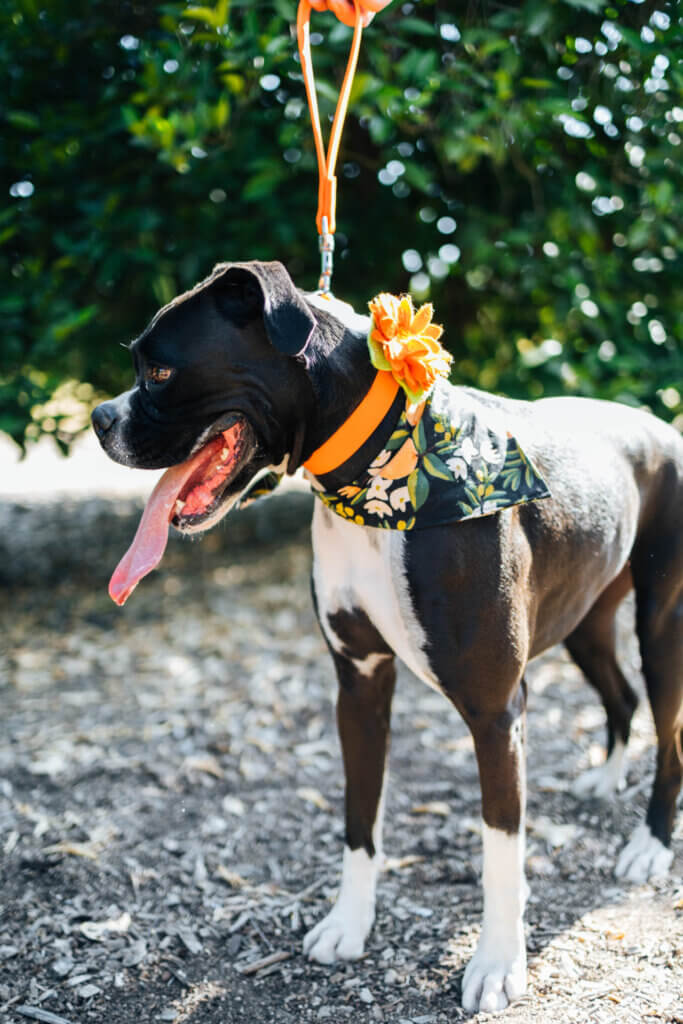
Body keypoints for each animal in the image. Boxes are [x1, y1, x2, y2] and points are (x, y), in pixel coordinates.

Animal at [92, 260, 683, 1011]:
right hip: (585, 619)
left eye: (160, 372)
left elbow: (499, 847)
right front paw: (350, 924)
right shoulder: (360, 684)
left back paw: (649, 844)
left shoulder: (496, 712)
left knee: (669, 735)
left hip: (660, 624)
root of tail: (658, 424)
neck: (377, 479)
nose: (99, 418)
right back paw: (605, 776)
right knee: (620, 697)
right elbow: (358, 818)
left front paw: (497, 963)